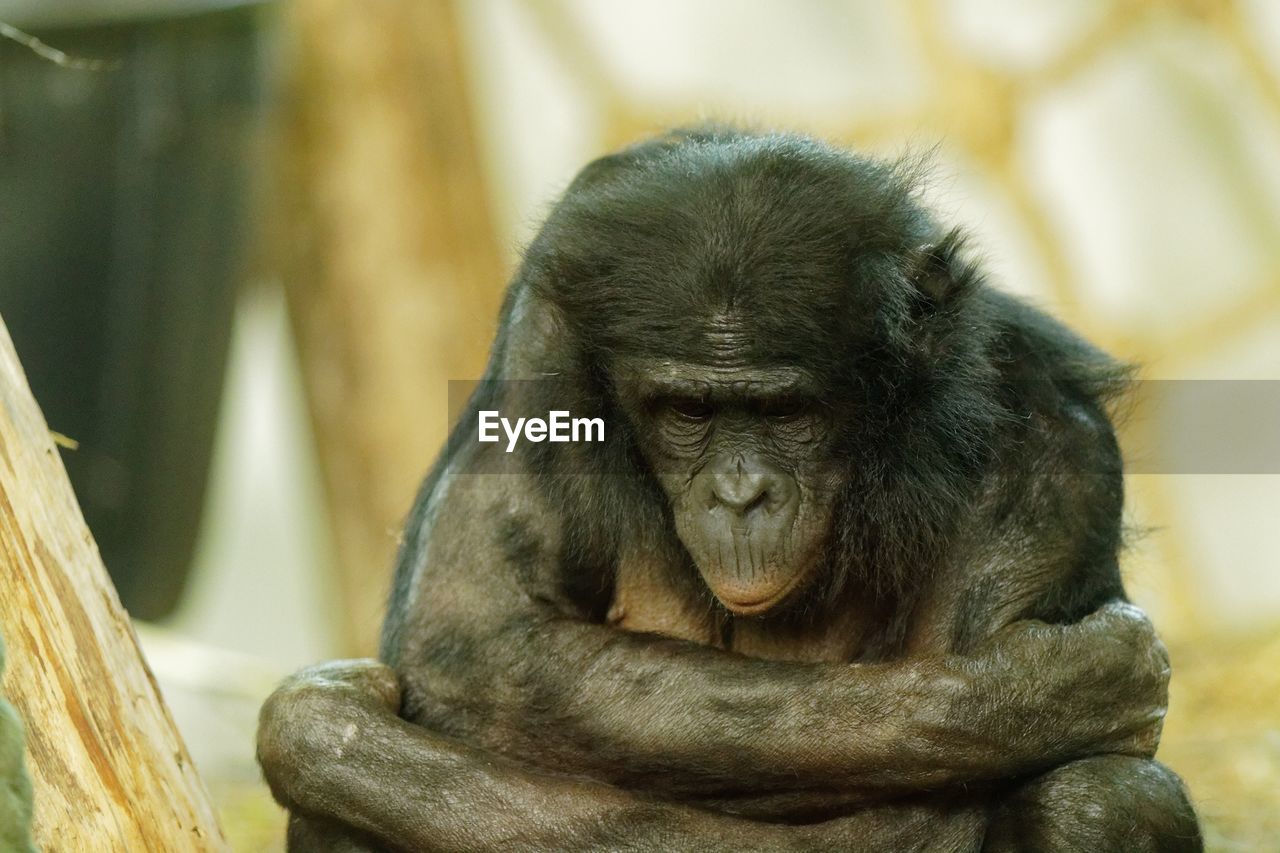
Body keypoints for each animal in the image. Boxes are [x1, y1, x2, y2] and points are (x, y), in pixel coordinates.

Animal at [257, 128, 1198, 850]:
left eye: (786, 412)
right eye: (689, 410)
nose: (741, 493)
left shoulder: (1047, 442)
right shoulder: (540, 353)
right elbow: (480, 640)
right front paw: (1043, 688)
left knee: (1100, 797)